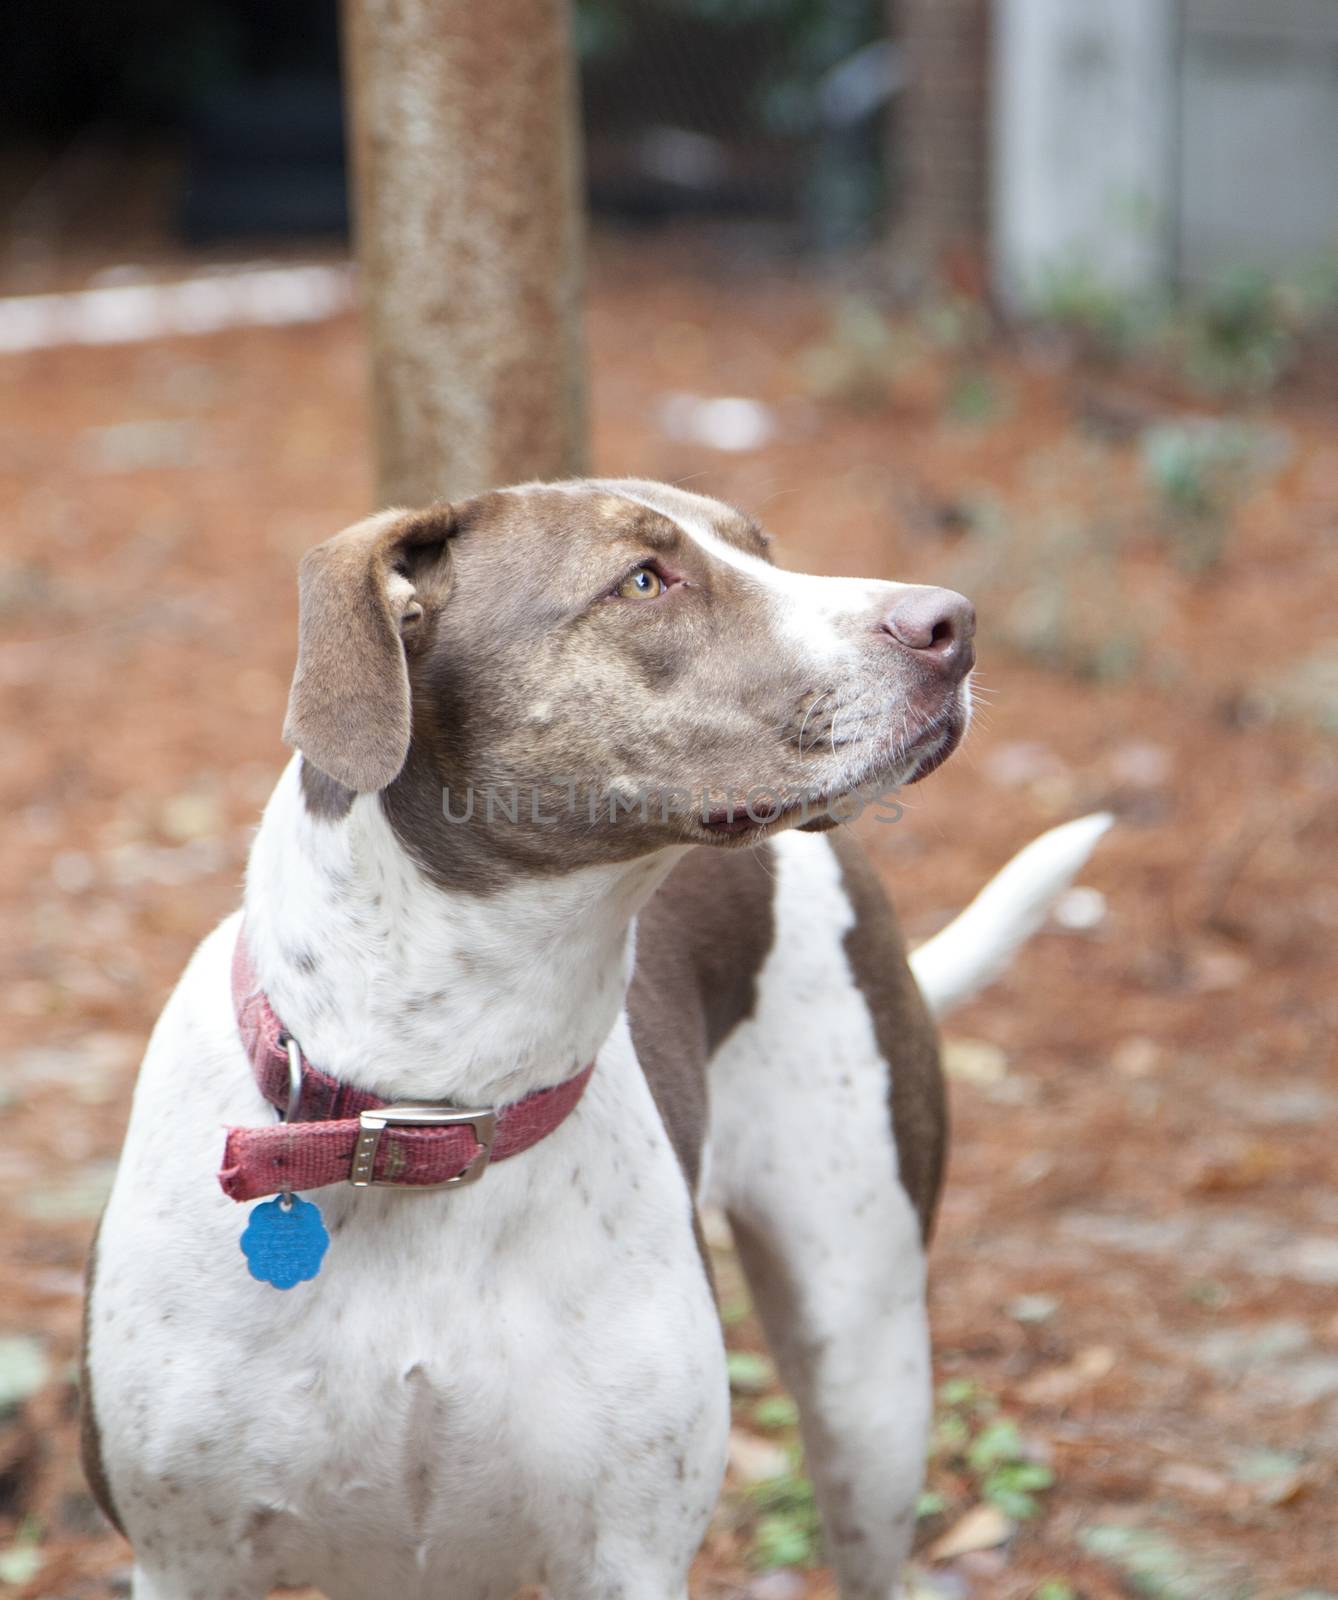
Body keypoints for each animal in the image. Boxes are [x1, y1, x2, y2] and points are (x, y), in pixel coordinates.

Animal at [80, 476, 1107, 1600]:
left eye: (763, 551)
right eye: (643, 581)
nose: (952, 623)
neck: (432, 1108)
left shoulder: (631, 1553)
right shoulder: (185, 1556)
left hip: (867, 1372)